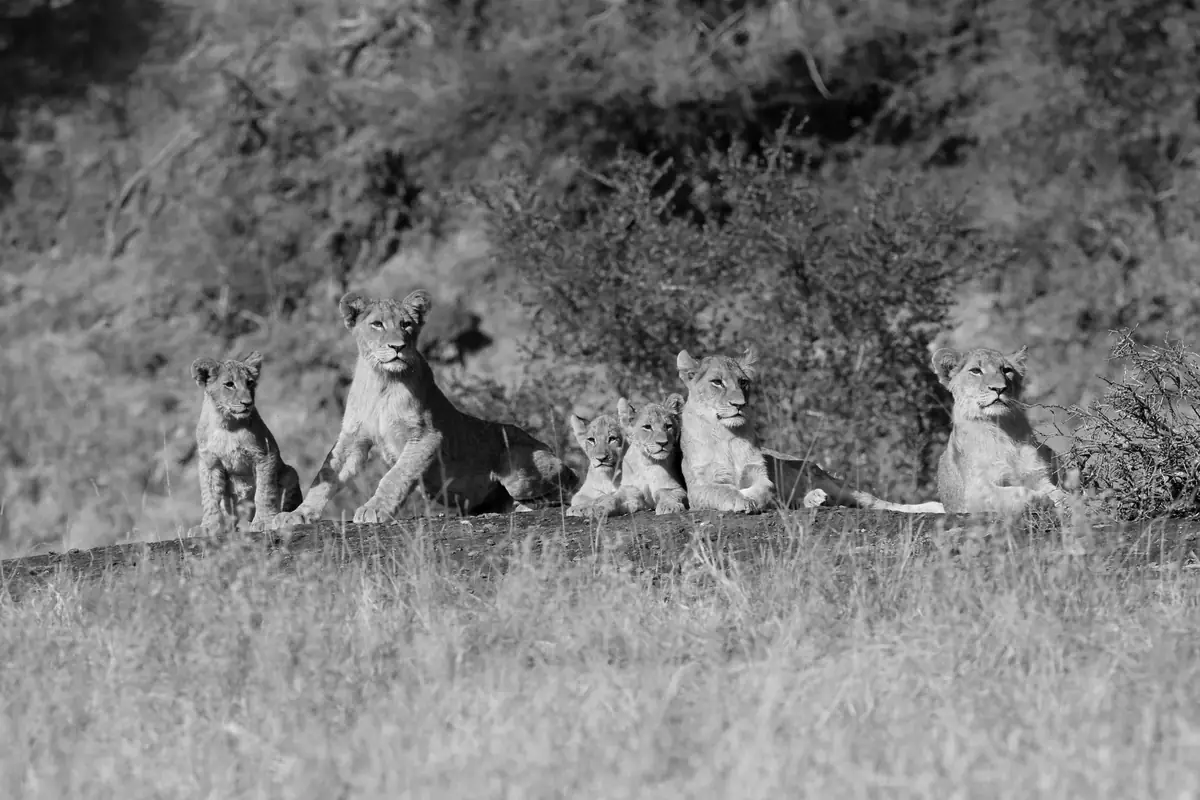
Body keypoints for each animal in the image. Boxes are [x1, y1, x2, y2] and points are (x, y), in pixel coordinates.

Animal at [190, 351, 303, 534]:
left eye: (250, 383)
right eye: (229, 384)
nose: (248, 403)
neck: (227, 425)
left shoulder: (265, 454)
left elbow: (264, 491)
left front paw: (263, 521)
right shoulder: (209, 462)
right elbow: (210, 497)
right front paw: (207, 527)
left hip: (290, 472)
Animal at [268, 290, 579, 527]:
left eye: (406, 324)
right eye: (377, 324)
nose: (398, 347)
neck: (382, 381)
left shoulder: (427, 436)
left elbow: (396, 476)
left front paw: (374, 509)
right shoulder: (353, 438)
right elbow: (325, 476)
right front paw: (297, 514)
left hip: (518, 466)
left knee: (569, 484)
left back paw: (525, 505)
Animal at [677, 346, 946, 514]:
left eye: (743, 382)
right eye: (717, 382)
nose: (739, 404)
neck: (726, 435)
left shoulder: (759, 472)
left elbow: (765, 488)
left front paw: (756, 498)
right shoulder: (698, 487)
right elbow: (720, 490)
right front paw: (742, 500)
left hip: (831, 481)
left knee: (875, 502)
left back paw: (935, 507)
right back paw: (815, 499)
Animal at [932, 345, 1071, 514]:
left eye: (1006, 370)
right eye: (976, 371)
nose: (999, 389)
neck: (1002, 426)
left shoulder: (1038, 476)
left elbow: (1059, 493)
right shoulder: (975, 491)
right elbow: (1017, 492)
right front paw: (1042, 500)